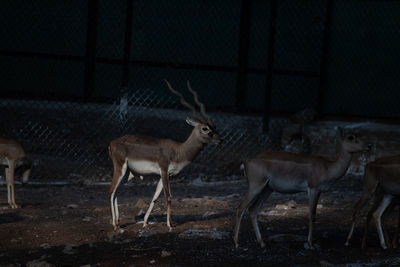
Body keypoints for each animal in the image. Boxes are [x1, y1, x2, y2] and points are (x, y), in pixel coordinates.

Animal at [108, 79, 222, 232]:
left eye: (214, 127)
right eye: (205, 128)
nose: (220, 140)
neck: (179, 150)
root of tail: (112, 143)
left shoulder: (168, 175)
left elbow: (155, 197)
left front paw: (145, 223)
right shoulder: (163, 169)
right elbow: (168, 197)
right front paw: (169, 225)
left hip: (127, 173)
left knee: (116, 193)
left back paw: (118, 222)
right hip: (120, 169)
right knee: (111, 191)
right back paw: (115, 225)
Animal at [233, 133, 370, 250]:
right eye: (351, 137)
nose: (368, 146)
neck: (327, 167)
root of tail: (245, 161)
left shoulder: (319, 191)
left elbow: (314, 214)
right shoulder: (312, 188)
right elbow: (311, 215)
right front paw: (310, 244)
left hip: (267, 189)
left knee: (253, 209)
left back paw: (262, 243)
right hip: (256, 186)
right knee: (240, 207)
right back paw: (236, 243)